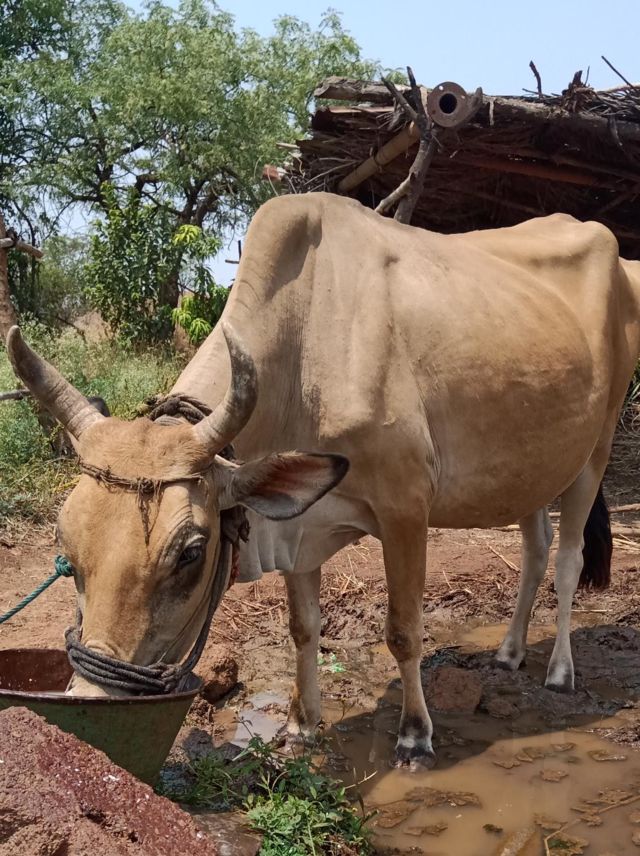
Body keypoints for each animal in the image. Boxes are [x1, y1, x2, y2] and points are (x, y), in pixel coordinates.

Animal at [6, 193, 640, 769]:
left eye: (190, 553)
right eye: (68, 549)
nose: (94, 697)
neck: (305, 349)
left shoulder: (406, 509)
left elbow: (405, 630)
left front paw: (415, 735)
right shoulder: (297, 525)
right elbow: (303, 627)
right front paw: (301, 723)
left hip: (597, 447)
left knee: (568, 560)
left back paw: (559, 670)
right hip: (532, 466)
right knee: (535, 549)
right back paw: (508, 653)